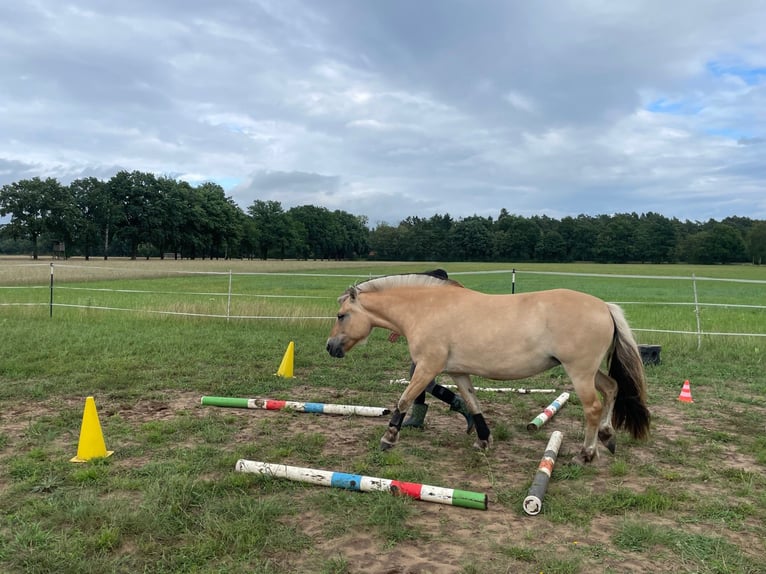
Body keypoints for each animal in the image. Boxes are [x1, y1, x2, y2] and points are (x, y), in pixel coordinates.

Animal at [326, 273, 650, 465]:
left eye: (341, 315)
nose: (330, 347)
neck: (426, 309)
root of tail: (605, 307)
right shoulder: (458, 372)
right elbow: (473, 403)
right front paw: (483, 440)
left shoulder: (427, 367)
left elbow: (404, 400)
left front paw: (388, 439)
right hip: (590, 372)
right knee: (612, 389)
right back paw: (608, 437)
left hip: (580, 372)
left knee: (593, 408)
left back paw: (586, 454)